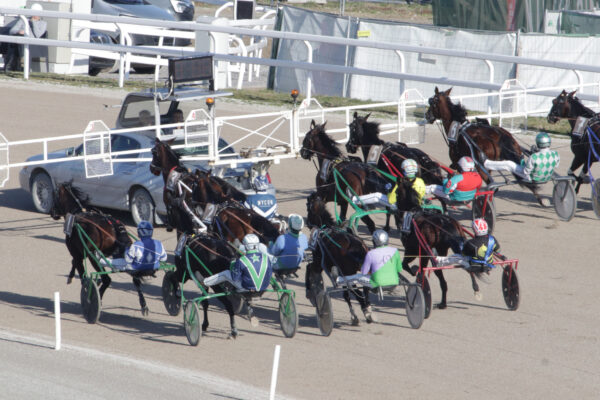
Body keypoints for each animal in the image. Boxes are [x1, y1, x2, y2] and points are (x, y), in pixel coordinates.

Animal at [50, 181, 156, 316]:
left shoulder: (78, 252)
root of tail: (113, 227)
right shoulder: (81, 252)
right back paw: (143, 305)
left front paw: (74, 279)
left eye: (55, 195)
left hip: (94, 256)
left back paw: (96, 300)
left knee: (107, 279)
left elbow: (81, 272)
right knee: (135, 279)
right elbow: (75, 263)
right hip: (119, 253)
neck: (76, 215)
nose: (52, 212)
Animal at [304, 192, 376, 326]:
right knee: (365, 288)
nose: (307, 223)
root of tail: (358, 247)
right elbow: (347, 293)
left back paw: (366, 309)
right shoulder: (340, 271)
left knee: (356, 291)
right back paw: (367, 308)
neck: (326, 229)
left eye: (308, 208)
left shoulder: (319, 262)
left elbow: (309, 267)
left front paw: (309, 291)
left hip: (347, 272)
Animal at [394, 179, 488, 316]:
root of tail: (446, 222)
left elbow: (406, 265)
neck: (414, 214)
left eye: (396, 193)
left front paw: (415, 271)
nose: (396, 209)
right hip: (452, 247)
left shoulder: (414, 250)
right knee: (464, 265)